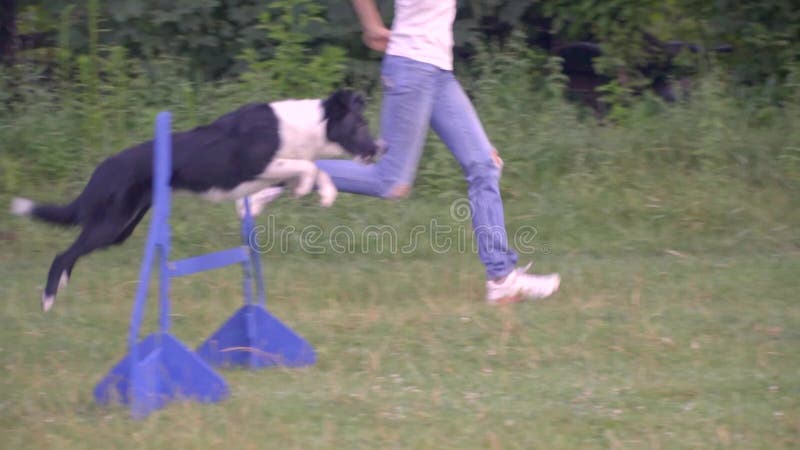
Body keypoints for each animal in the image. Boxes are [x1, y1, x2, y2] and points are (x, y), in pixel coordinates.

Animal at [9, 89, 384, 312]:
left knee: (74, 252)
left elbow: (315, 169)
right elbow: (309, 166)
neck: (306, 127)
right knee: (63, 254)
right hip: (112, 223)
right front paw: (308, 187)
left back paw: (61, 286)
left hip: (122, 228)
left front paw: (322, 192)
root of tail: (104, 168)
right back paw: (48, 299)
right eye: (360, 125)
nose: (380, 149)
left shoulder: (273, 170)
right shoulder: (257, 163)